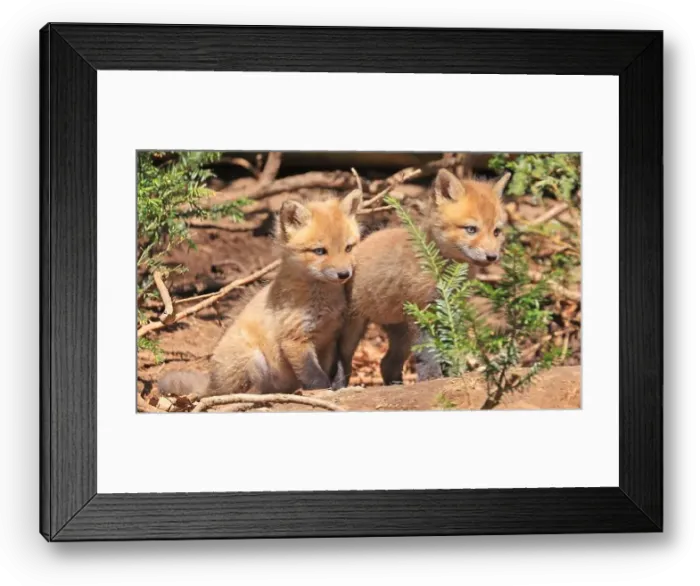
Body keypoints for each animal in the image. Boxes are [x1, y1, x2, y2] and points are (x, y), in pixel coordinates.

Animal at [158, 189, 363, 399]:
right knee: (244, 392)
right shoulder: (295, 339)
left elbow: (326, 371)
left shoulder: (329, 339)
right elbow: (316, 377)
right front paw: (324, 392)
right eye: (320, 251)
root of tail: (212, 384)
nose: (344, 274)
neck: (321, 300)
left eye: (348, 248)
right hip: (255, 362)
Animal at [333, 168, 511, 388]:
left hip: (401, 332)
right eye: (471, 229)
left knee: (387, 364)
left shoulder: (450, 308)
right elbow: (428, 352)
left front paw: (452, 372)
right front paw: (433, 378)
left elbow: (449, 344)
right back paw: (337, 387)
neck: (444, 270)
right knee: (343, 359)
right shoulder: (422, 309)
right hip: (354, 327)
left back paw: (396, 386)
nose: (492, 257)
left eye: (497, 231)